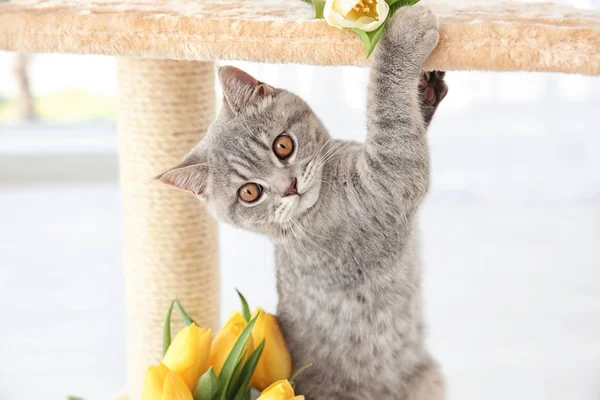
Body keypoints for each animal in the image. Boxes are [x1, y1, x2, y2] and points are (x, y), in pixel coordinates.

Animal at [157, 6, 448, 400]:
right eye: (249, 192)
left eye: (283, 145)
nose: (290, 187)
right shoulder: (388, 184)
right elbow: (389, 112)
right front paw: (403, 34)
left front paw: (427, 88)